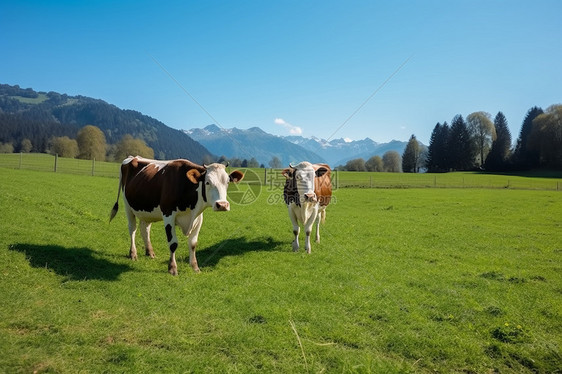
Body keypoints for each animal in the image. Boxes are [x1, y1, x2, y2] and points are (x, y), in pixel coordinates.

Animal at [108, 155, 242, 274]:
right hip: (128, 206)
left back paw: (150, 252)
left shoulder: (198, 218)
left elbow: (193, 243)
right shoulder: (168, 215)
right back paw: (133, 253)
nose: (222, 205)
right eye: (207, 182)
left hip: (146, 210)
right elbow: (173, 243)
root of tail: (132, 157)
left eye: (228, 182)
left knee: (145, 229)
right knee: (132, 229)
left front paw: (195, 267)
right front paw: (172, 268)